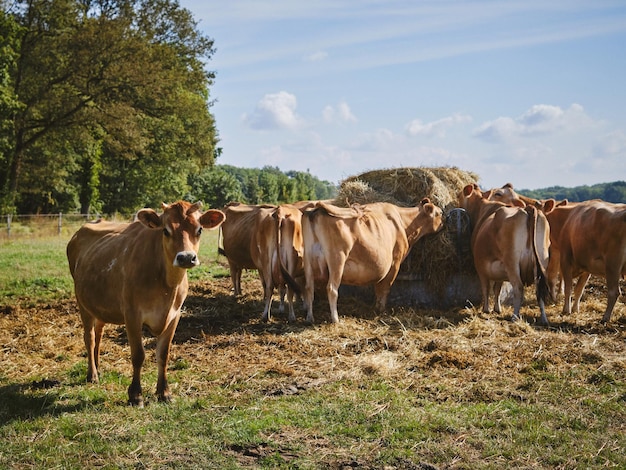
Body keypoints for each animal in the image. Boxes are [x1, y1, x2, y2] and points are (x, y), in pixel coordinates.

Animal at [66, 200, 224, 406]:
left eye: (199, 230)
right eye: (165, 230)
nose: (186, 257)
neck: (166, 286)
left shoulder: (174, 316)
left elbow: (163, 354)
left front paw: (164, 392)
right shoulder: (132, 315)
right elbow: (138, 355)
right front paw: (135, 395)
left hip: (101, 304)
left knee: (99, 333)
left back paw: (98, 367)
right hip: (82, 302)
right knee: (90, 337)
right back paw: (92, 374)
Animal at [302, 197, 444, 324]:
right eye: (440, 212)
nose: (444, 221)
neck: (404, 222)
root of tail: (316, 211)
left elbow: (378, 288)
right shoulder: (395, 263)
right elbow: (384, 288)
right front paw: (381, 310)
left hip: (308, 260)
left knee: (309, 288)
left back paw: (309, 318)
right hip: (337, 259)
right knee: (331, 289)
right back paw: (336, 320)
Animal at [456, 185, 548, 324]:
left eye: (459, 196)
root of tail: (527, 208)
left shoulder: (480, 267)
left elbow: (486, 288)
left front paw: (486, 309)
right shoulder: (499, 270)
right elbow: (497, 289)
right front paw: (497, 308)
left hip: (512, 262)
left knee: (518, 288)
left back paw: (515, 316)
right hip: (541, 262)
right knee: (540, 291)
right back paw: (543, 318)